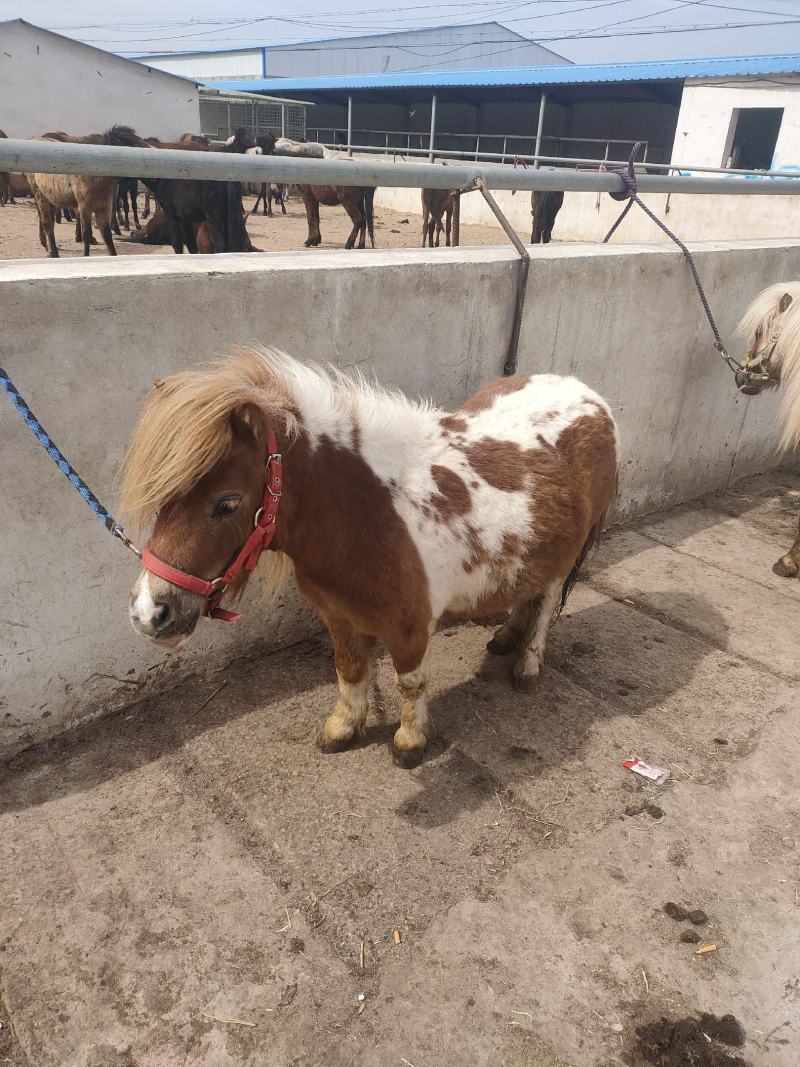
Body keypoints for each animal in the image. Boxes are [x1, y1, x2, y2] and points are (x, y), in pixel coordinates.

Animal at [26, 125, 148, 257]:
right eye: (132, 145)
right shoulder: (85, 208)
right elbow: (86, 234)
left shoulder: (103, 208)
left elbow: (107, 235)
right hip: (40, 195)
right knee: (47, 222)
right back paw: (53, 252)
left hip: (51, 198)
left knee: (50, 222)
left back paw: (48, 246)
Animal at [121, 347, 618, 763]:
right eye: (163, 500)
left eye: (227, 503)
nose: (149, 614)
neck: (367, 511)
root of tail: (591, 397)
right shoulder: (337, 615)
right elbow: (349, 671)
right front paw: (343, 728)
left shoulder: (410, 627)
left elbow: (410, 682)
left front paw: (410, 742)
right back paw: (505, 638)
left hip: (565, 558)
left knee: (547, 601)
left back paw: (527, 665)